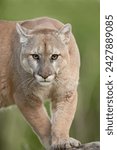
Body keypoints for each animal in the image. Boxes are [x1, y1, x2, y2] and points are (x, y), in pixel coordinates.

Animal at [0, 17, 80, 149]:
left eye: (54, 56)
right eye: (35, 56)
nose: (44, 75)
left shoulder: (65, 93)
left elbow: (63, 118)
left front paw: (62, 140)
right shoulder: (26, 97)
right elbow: (42, 123)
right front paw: (52, 143)